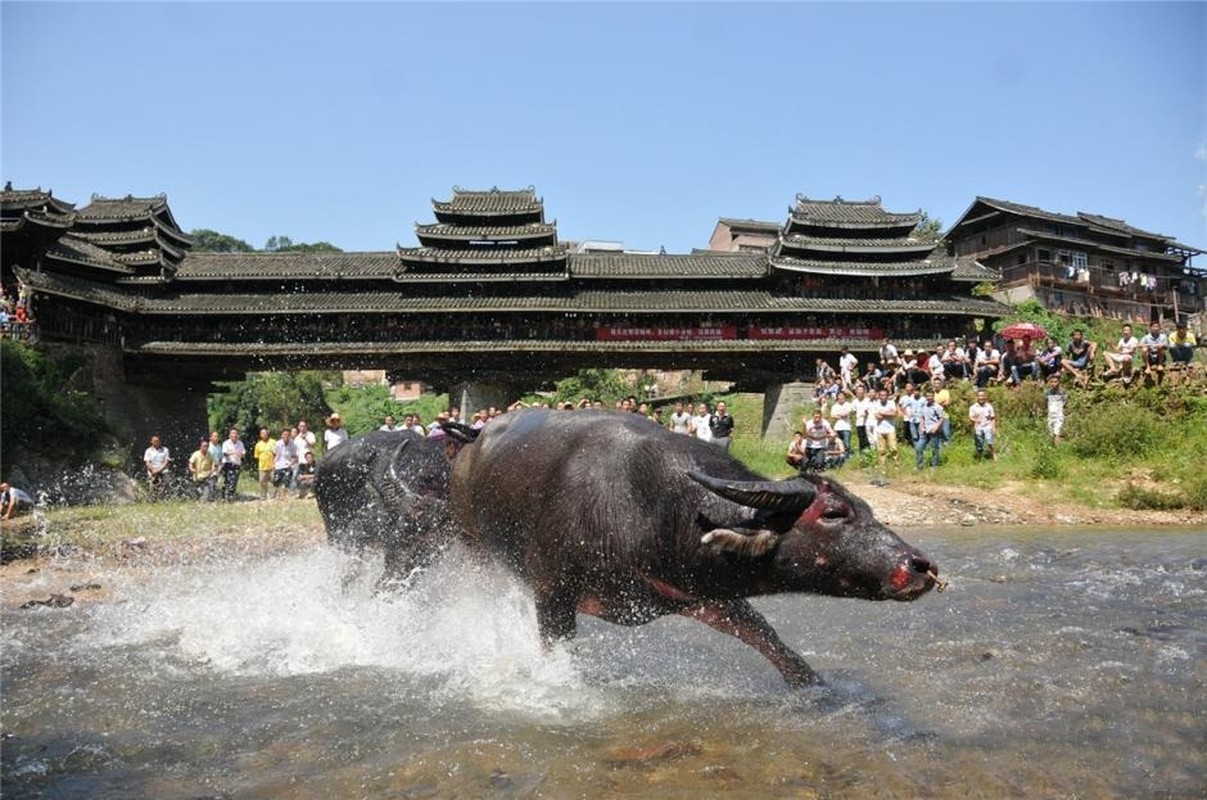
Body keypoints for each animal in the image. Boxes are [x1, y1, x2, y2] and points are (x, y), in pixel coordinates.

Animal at [449, 410, 936, 685]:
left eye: (867, 508)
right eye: (833, 513)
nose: (920, 565)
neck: (646, 508)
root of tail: (471, 441)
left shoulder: (700, 592)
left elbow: (769, 639)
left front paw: (816, 688)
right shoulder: (553, 592)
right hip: (473, 546)